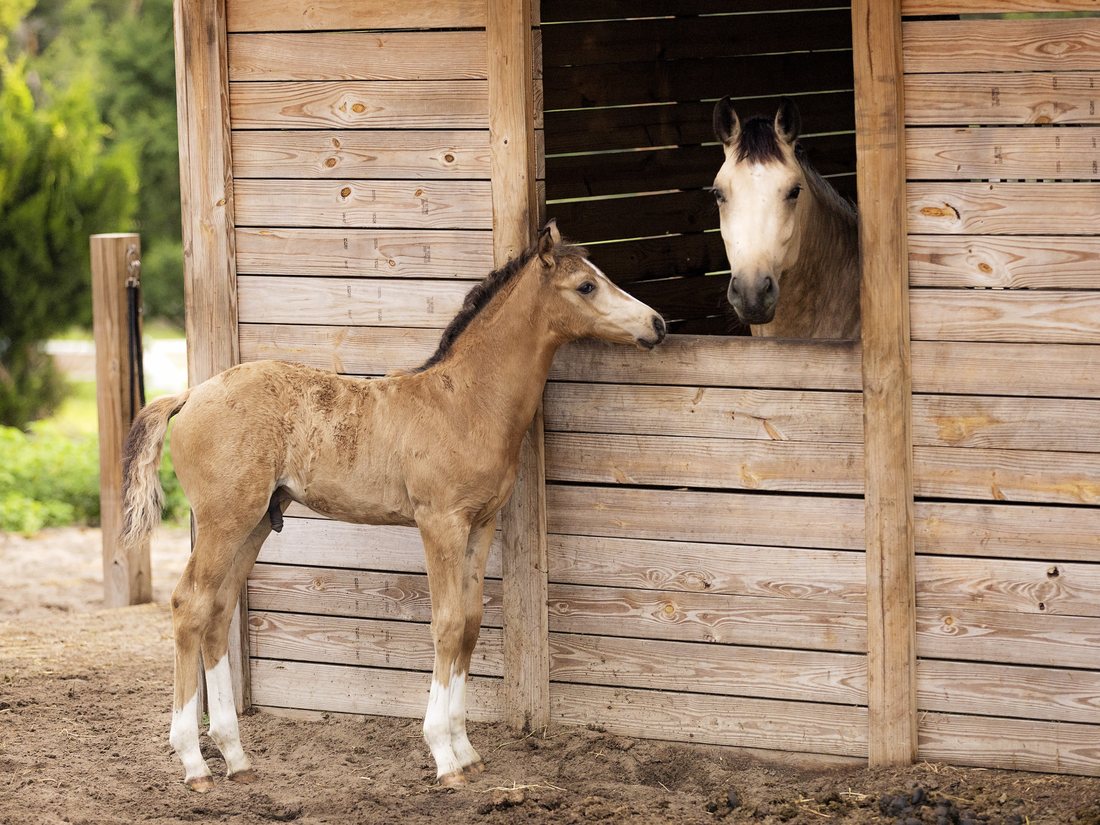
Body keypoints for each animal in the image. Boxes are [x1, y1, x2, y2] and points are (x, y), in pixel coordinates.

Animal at [119, 221, 666, 791]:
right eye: (586, 285)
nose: (658, 324)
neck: (465, 402)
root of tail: (189, 395)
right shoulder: (439, 523)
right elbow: (446, 623)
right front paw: (444, 756)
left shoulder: (481, 524)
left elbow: (470, 624)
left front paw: (468, 751)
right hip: (223, 520)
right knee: (189, 605)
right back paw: (193, 763)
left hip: (255, 522)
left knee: (218, 611)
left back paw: (235, 756)